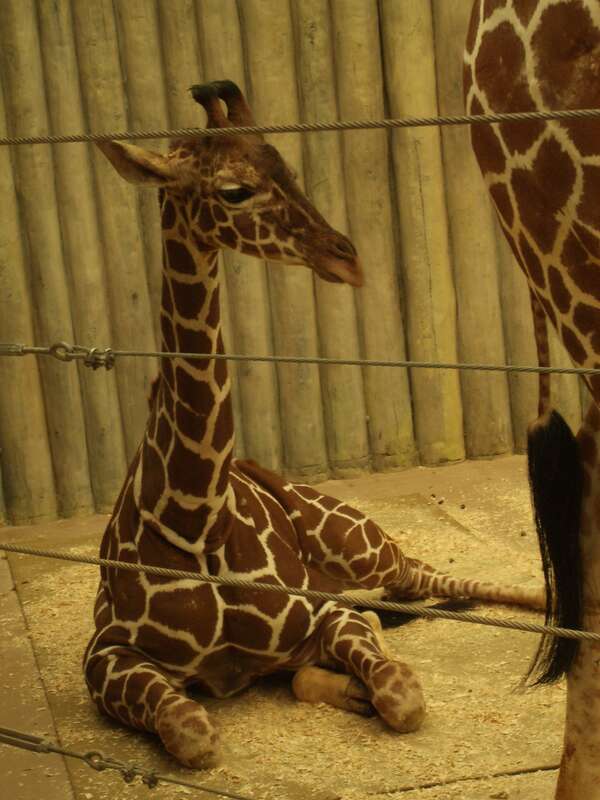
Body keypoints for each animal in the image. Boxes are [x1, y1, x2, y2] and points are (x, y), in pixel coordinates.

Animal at [84, 80, 544, 769]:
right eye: (235, 190)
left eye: (290, 169)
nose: (347, 258)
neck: (193, 514)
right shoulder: (105, 654)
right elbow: (193, 733)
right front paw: (346, 690)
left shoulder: (327, 614)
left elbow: (402, 696)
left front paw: (365, 686)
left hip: (359, 547)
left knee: (424, 572)